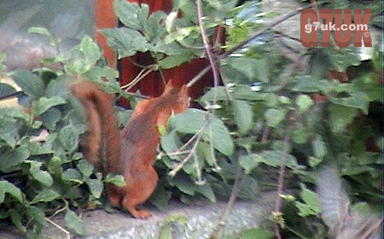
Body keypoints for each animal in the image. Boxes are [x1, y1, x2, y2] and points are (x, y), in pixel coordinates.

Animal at [71, 79, 190, 218]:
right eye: (187, 100)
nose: (190, 106)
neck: (165, 100)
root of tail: (115, 175)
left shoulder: (145, 104)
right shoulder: (166, 115)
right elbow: (163, 125)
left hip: (113, 189)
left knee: (115, 200)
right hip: (147, 180)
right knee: (128, 202)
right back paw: (139, 213)